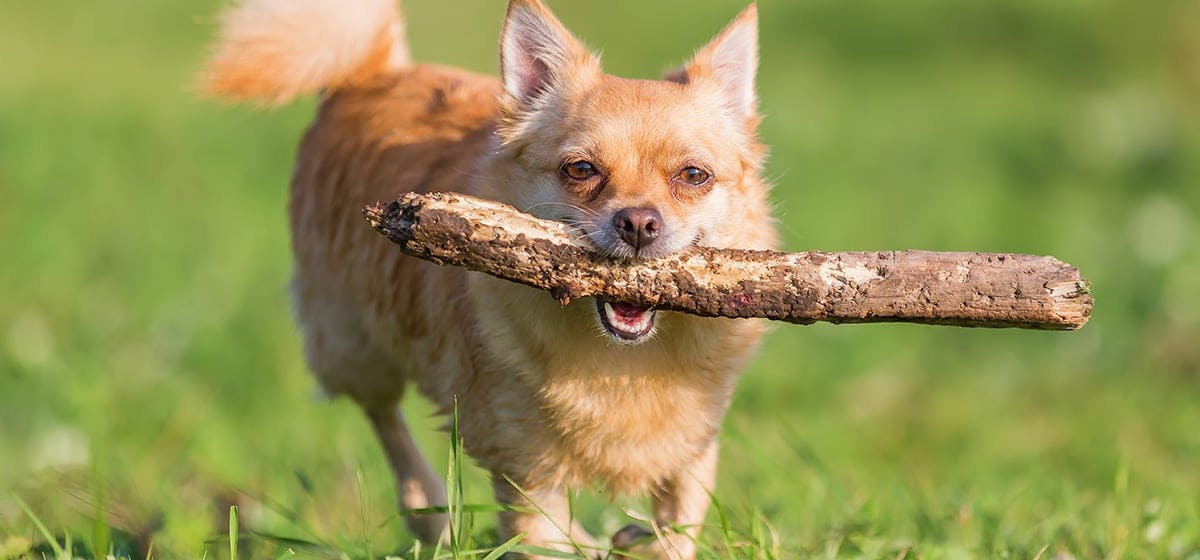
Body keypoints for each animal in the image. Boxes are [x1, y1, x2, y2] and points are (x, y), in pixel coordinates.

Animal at [202, 1, 777, 556]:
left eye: (694, 176)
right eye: (581, 170)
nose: (637, 222)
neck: (624, 362)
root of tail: (376, 73)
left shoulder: (695, 444)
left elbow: (676, 531)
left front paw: (639, 540)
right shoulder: (525, 464)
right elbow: (545, 537)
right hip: (352, 347)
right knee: (386, 420)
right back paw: (430, 510)